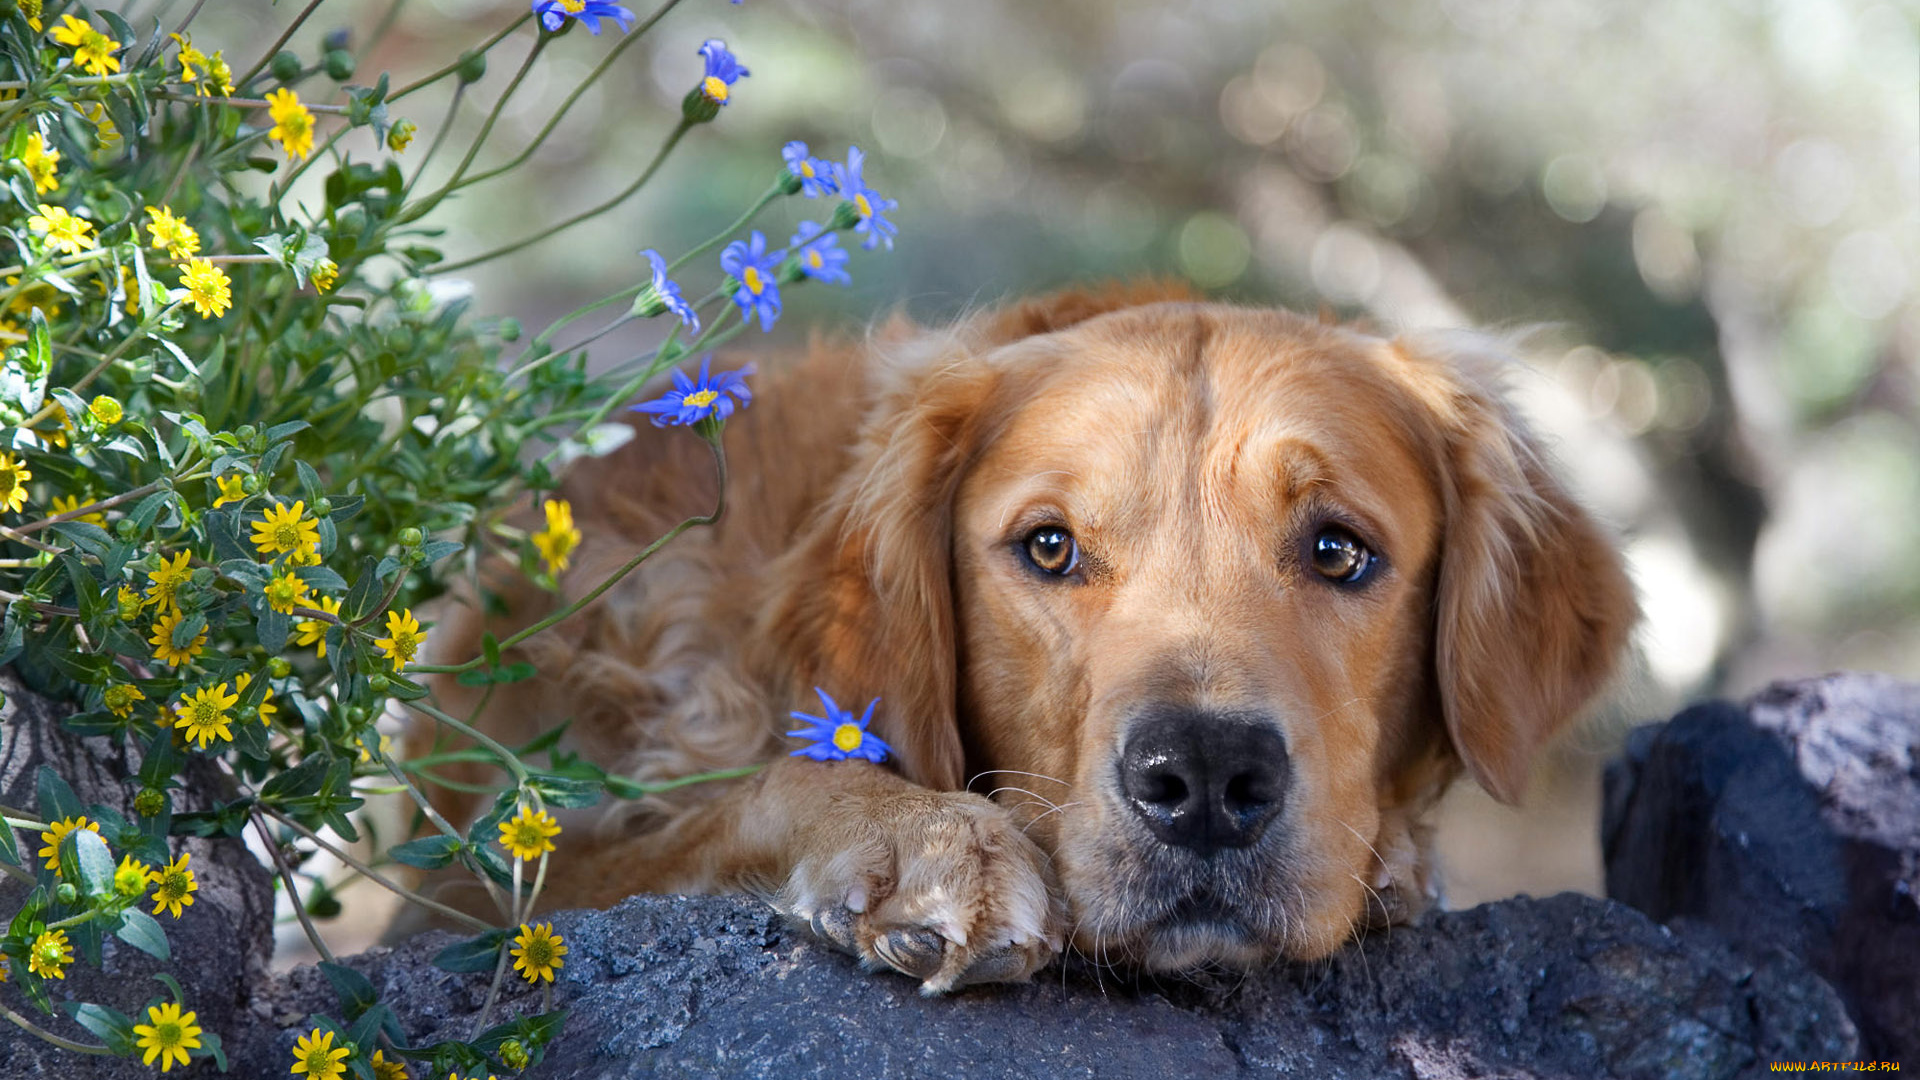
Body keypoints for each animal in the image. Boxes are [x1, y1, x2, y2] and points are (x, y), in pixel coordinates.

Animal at [432, 282, 1635, 991]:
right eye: (1049, 547)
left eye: (1338, 551)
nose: (1205, 777)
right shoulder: (496, 883)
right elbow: (753, 791)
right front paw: (919, 838)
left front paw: (1393, 859)